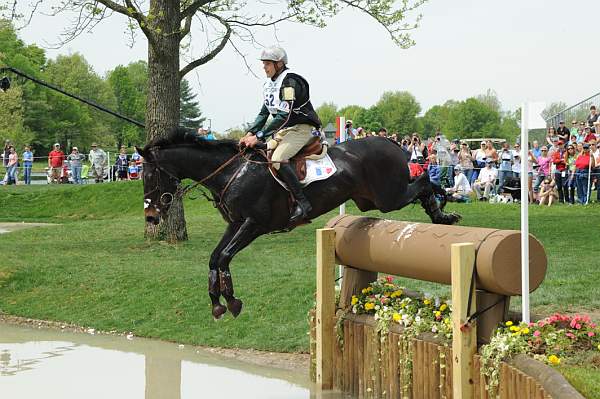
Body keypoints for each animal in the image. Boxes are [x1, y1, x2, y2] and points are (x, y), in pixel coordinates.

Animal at [138, 130, 462, 320]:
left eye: (151, 175)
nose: (151, 216)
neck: (232, 171)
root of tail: (390, 142)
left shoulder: (253, 225)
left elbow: (225, 257)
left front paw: (231, 301)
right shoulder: (235, 225)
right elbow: (215, 258)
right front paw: (218, 303)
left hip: (388, 197)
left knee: (423, 181)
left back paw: (443, 212)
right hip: (370, 201)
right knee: (421, 184)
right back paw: (443, 209)